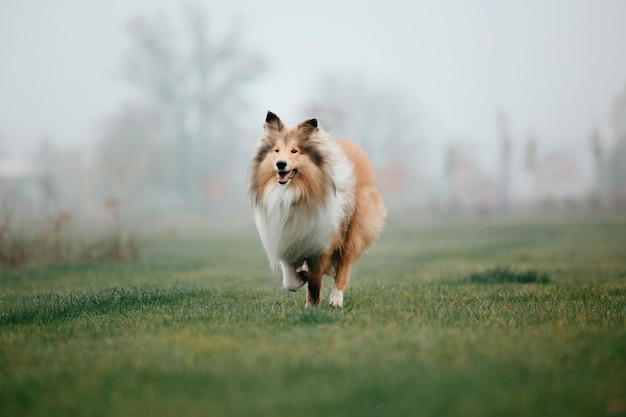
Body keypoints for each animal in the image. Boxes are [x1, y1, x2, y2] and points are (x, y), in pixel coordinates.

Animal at [249, 110, 386, 306]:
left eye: (294, 151)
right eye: (276, 150)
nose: (280, 164)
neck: (293, 194)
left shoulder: (323, 241)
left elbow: (315, 280)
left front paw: (311, 304)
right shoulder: (285, 236)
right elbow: (289, 280)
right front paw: (300, 279)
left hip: (353, 229)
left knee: (344, 266)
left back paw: (336, 298)